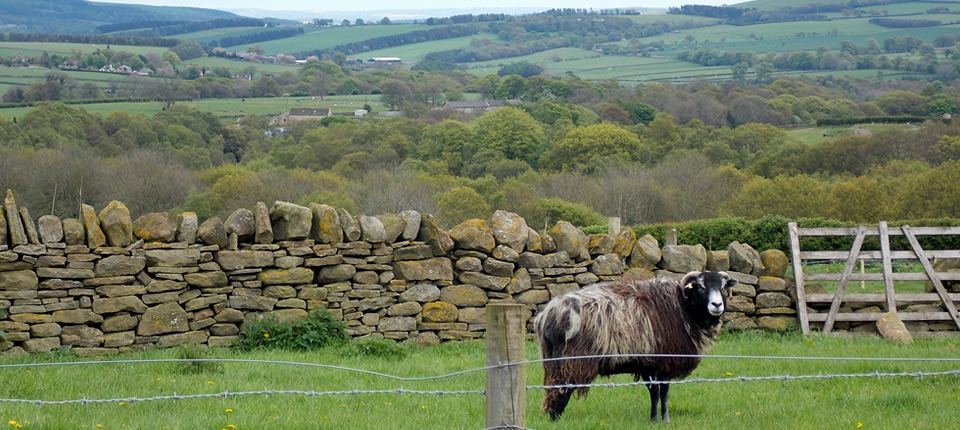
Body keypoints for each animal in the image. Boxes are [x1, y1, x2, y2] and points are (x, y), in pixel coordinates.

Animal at [534, 270, 735, 422]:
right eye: (700, 287)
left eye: (722, 287)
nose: (717, 305)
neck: (683, 307)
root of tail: (547, 315)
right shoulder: (665, 361)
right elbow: (663, 393)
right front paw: (665, 419)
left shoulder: (648, 364)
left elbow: (654, 393)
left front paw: (654, 419)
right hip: (572, 362)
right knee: (561, 389)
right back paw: (555, 418)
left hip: (551, 361)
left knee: (551, 390)